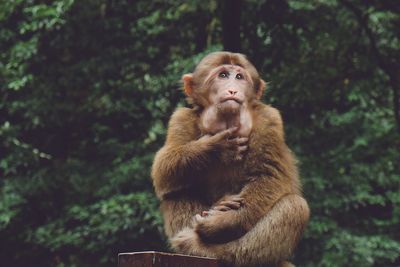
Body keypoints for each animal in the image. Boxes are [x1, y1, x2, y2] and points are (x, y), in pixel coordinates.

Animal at [150, 51, 310, 266]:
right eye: (223, 75)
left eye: (239, 77)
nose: (233, 89)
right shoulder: (180, 118)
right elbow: (163, 167)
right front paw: (215, 148)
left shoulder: (269, 119)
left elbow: (269, 175)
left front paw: (220, 222)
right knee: (176, 190)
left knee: (296, 207)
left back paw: (209, 249)